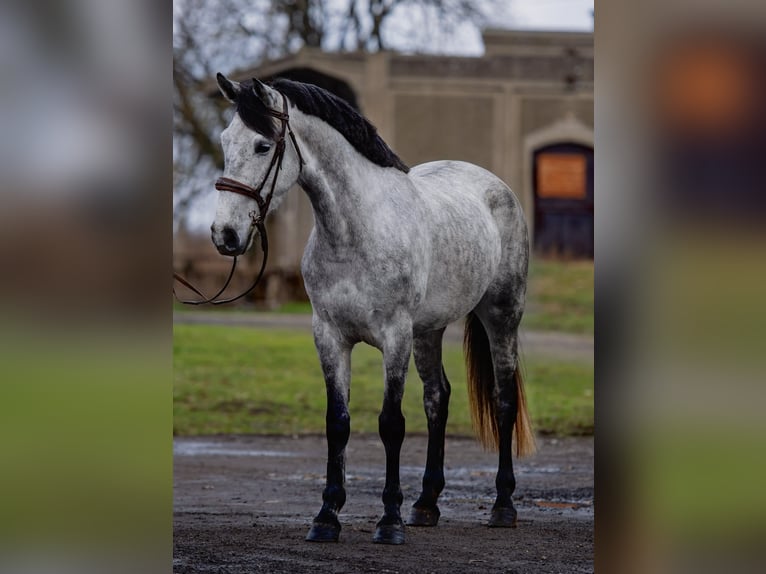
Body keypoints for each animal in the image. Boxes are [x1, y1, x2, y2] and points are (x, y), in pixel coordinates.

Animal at [210, 73, 536, 545]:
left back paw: (502, 505)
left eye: (262, 145)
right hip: (428, 331)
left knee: (504, 398)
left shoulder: (394, 336)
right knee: (438, 398)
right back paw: (425, 504)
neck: (355, 231)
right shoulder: (329, 336)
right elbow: (338, 422)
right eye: (224, 141)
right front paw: (326, 517)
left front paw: (389, 521)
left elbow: (391, 423)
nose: (225, 235)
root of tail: (495, 186)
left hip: (501, 316)